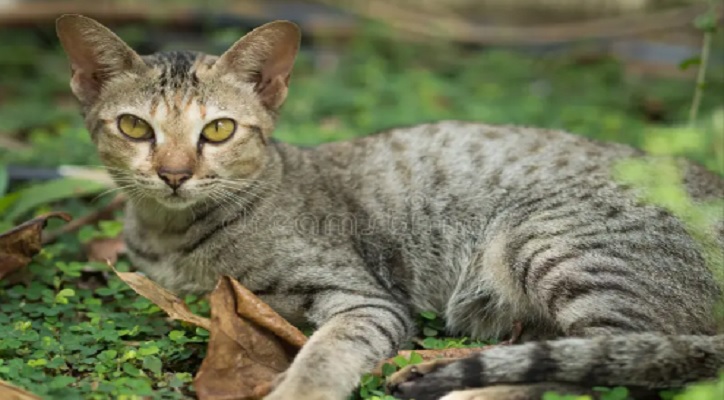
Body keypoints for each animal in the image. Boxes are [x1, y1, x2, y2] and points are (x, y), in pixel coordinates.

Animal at [58, 13, 724, 400]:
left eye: (218, 130)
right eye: (134, 127)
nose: (173, 174)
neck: (171, 235)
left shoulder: (365, 299)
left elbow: (325, 354)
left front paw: (299, 389)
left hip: (556, 242)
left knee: (612, 364)